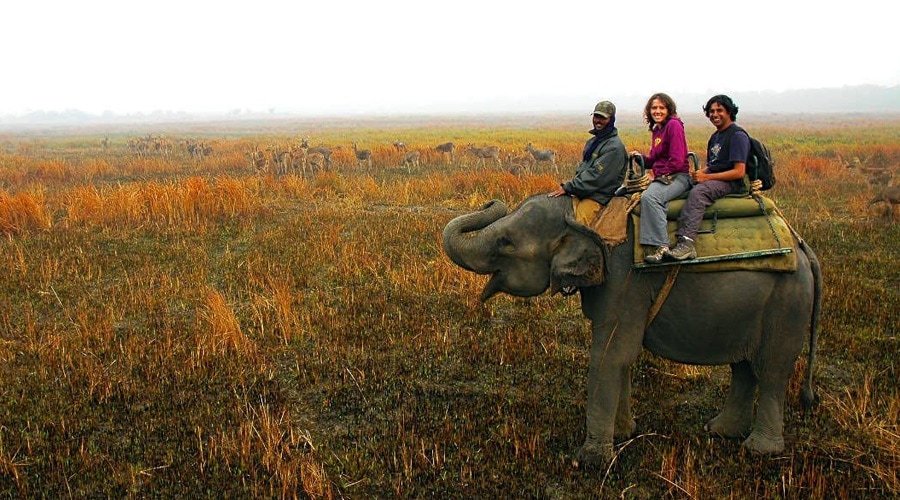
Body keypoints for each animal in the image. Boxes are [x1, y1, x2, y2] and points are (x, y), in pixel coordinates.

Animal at [442, 193, 824, 466]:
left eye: (505, 242)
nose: (490, 202)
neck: (585, 216)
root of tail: (804, 248)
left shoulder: (625, 280)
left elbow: (610, 355)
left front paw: (590, 462)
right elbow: (621, 357)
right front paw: (625, 433)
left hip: (787, 303)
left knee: (772, 369)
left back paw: (758, 451)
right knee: (743, 367)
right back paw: (720, 432)